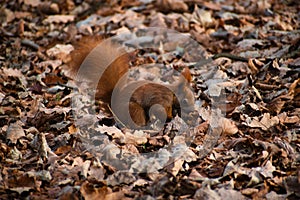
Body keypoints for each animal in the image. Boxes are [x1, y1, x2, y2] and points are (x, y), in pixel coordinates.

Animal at [67, 35, 196, 128]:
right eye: (185, 101)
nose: (194, 112)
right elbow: (159, 110)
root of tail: (114, 108)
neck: (172, 93)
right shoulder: (161, 100)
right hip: (133, 110)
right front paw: (170, 118)